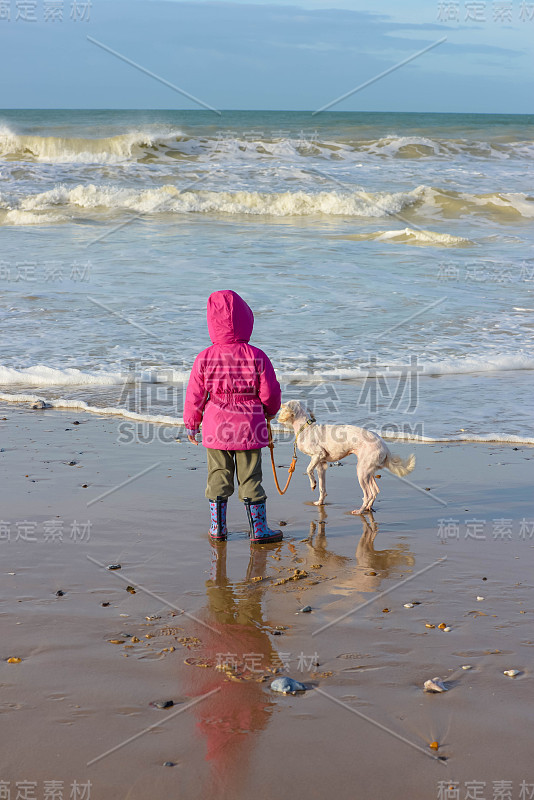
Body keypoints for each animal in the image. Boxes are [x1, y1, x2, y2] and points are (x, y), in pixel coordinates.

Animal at [280, 398, 418, 516]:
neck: (306, 428)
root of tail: (385, 446)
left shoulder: (318, 454)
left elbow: (308, 470)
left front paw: (313, 484)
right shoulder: (321, 464)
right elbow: (322, 488)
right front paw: (320, 502)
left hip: (361, 472)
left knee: (368, 494)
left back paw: (359, 511)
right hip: (368, 471)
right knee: (375, 491)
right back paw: (368, 508)